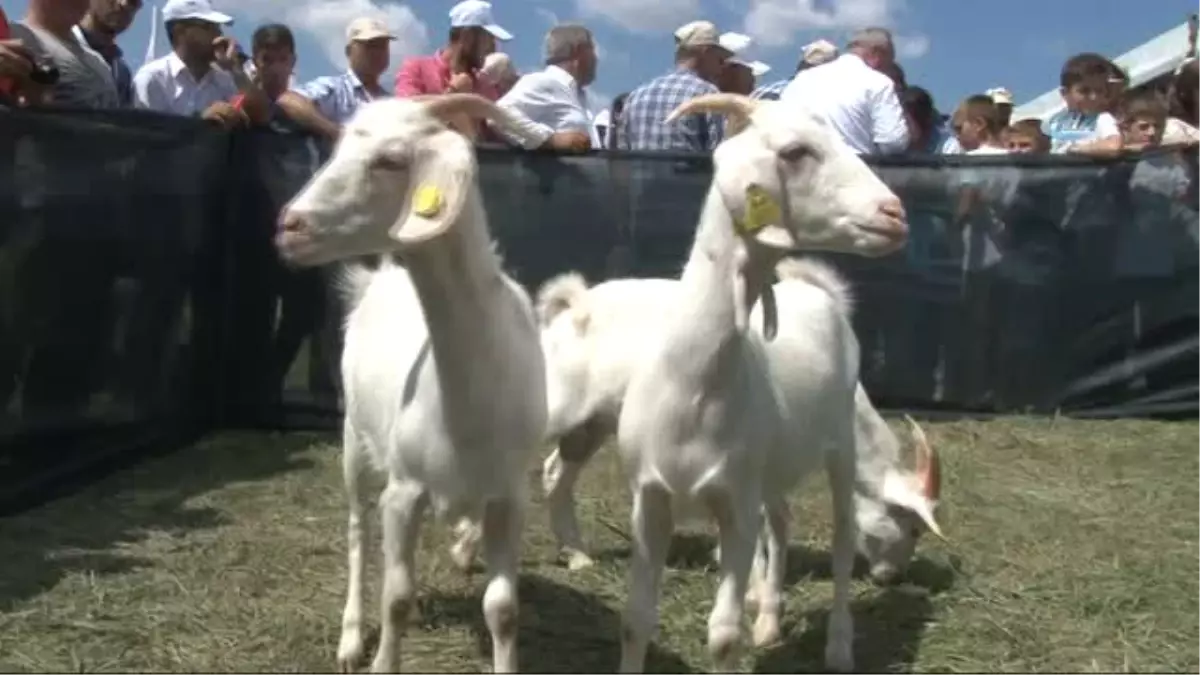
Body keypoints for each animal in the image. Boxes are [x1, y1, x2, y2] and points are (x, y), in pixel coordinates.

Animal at [614, 91, 902, 667]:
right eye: (795, 151)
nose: (895, 214)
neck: (694, 387)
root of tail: (815, 292)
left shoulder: (737, 506)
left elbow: (724, 634)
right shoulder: (648, 500)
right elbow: (635, 621)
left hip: (841, 443)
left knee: (842, 540)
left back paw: (839, 647)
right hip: (773, 467)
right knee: (785, 520)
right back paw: (770, 621)